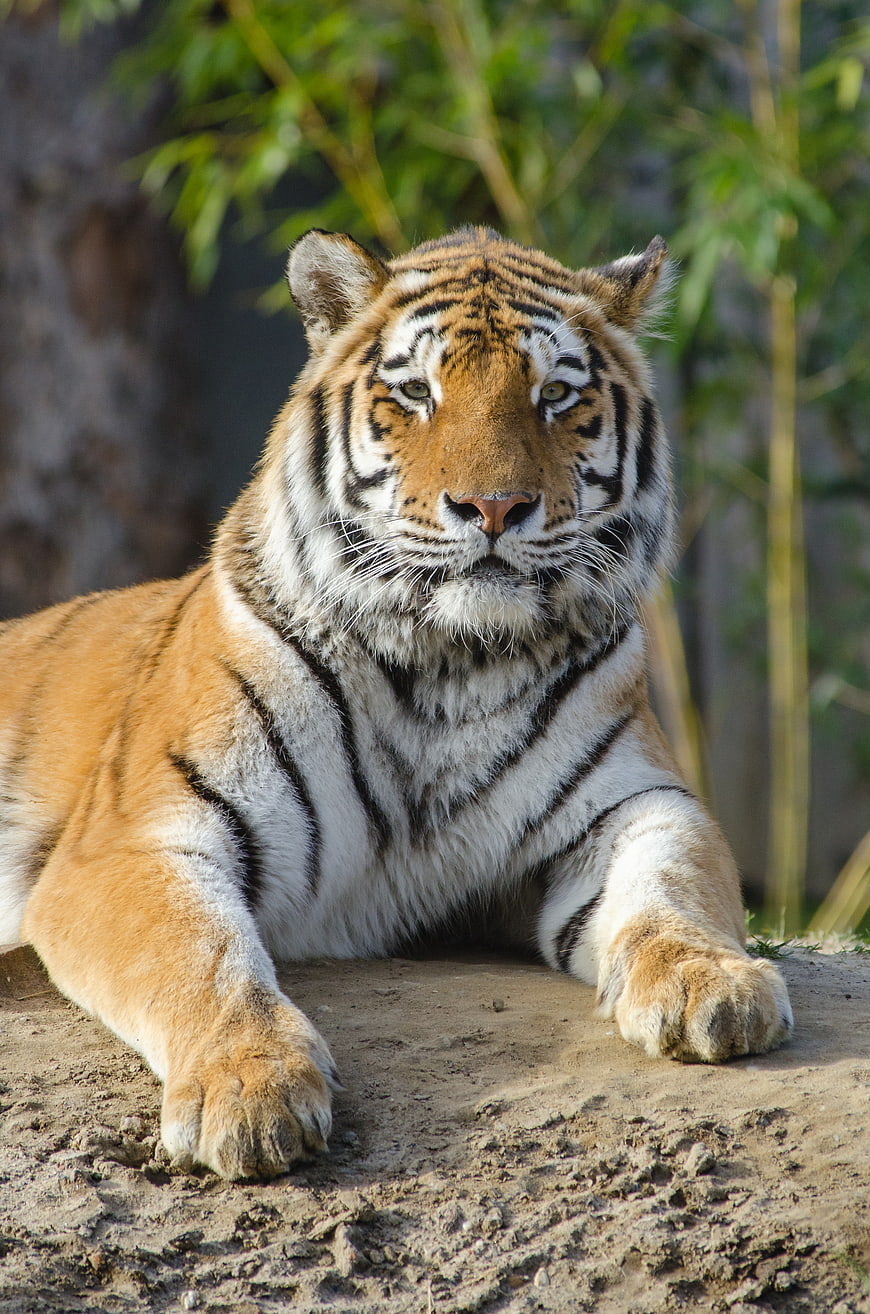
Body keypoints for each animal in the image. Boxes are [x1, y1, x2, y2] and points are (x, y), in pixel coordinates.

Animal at [0, 226, 792, 1180]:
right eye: (417, 392)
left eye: (555, 395)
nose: (494, 507)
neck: (446, 666)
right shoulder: (129, 841)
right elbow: (199, 956)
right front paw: (247, 1088)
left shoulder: (637, 803)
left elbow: (675, 887)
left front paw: (713, 984)